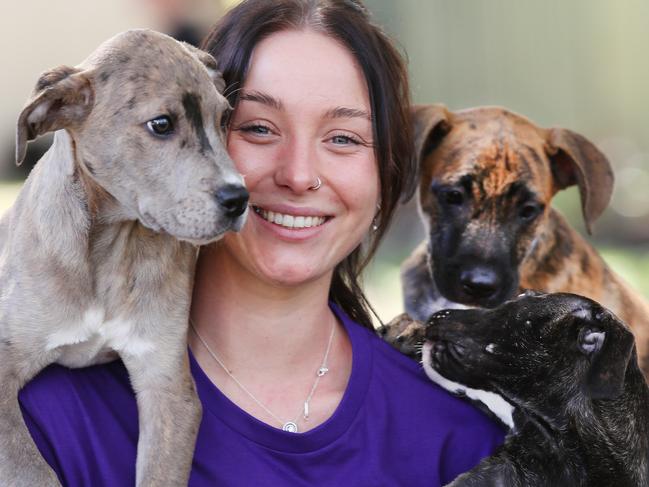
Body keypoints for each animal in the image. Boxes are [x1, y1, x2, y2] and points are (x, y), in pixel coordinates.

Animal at [0, 28, 248, 486]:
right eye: (161, 124)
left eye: (223, 119)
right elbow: (31, 469)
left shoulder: (166, 384)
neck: (109, 249)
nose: (240, 198)